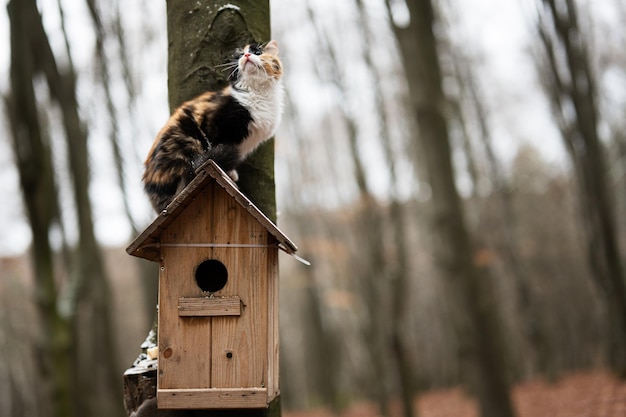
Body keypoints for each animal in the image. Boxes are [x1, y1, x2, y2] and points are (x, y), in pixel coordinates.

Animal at [143, 39, 282, 211]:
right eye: (240, 55)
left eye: (257, 52)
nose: (247, 56)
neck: (258, 92)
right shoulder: (216, 124)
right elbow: (215, 147)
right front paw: (227, 172)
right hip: (188, 139)